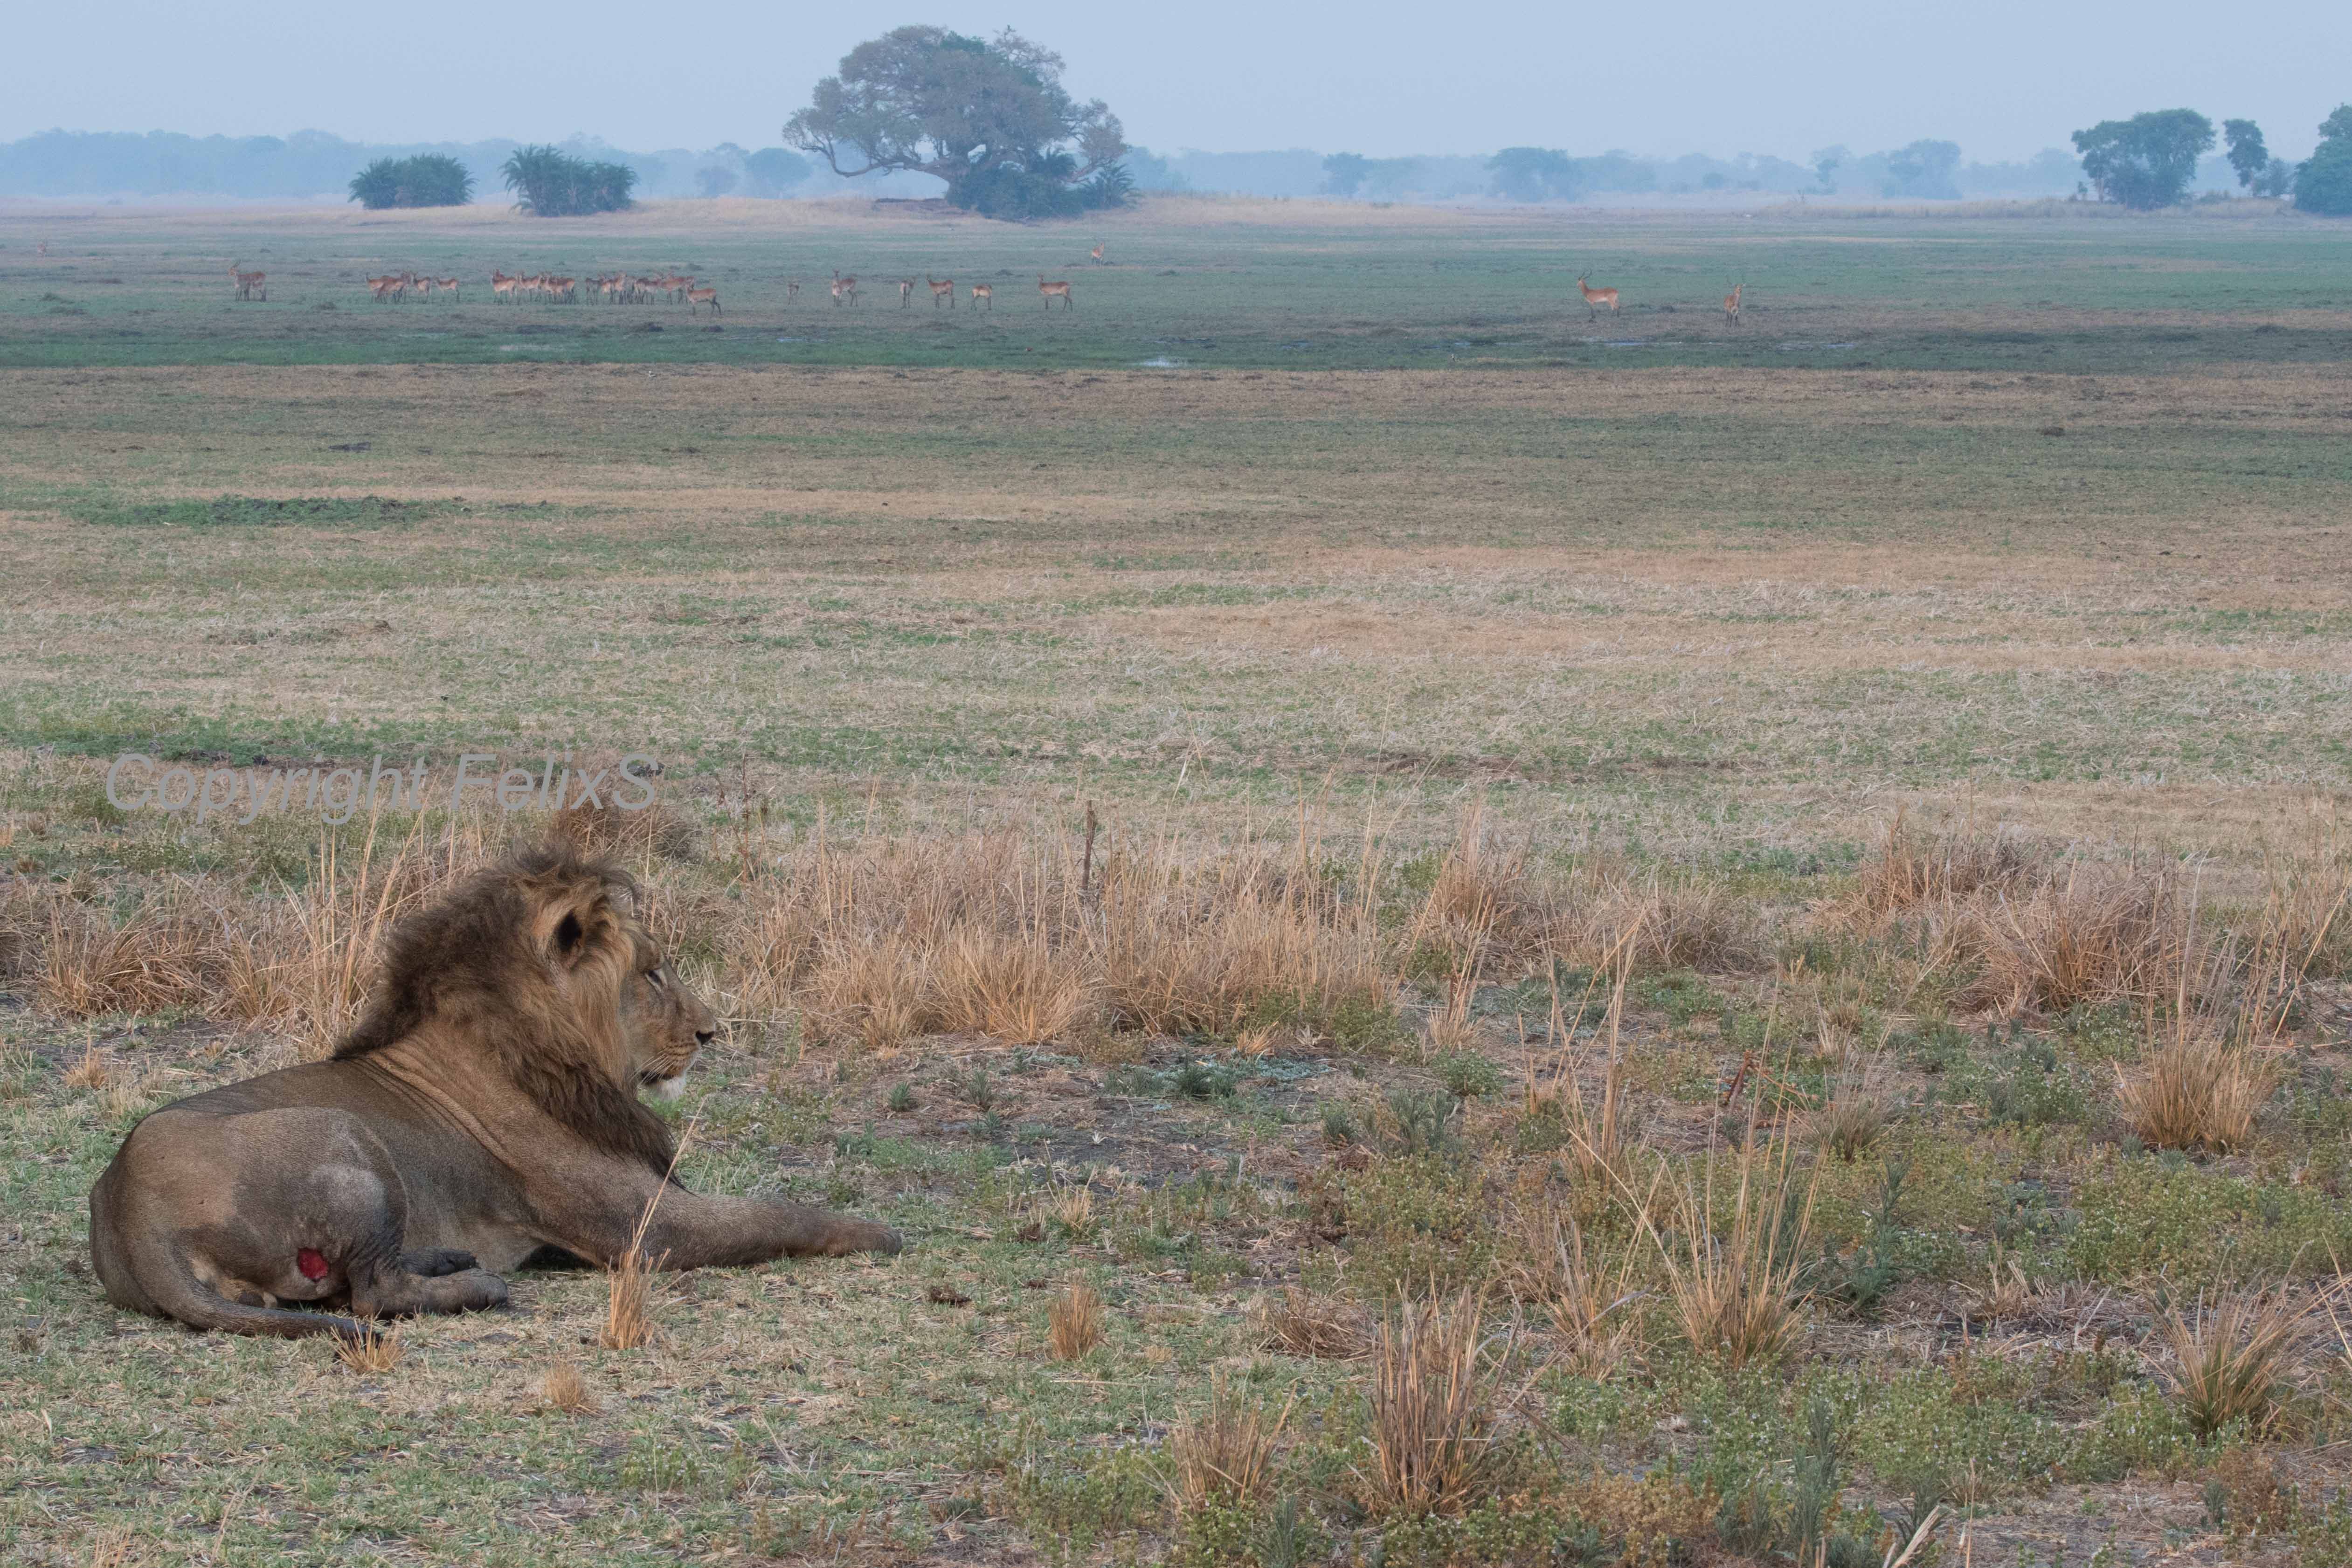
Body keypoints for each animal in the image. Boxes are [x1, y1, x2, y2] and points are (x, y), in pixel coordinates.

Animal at [91, 846, 898, 1335]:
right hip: (349, 1137)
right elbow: (774, 1211)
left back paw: (451, 1259)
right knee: (375, 1291)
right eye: (653, 972)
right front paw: (877, 1230)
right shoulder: (644, 1226)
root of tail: (131, 1210)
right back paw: (477, 1285)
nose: (710, 1031)